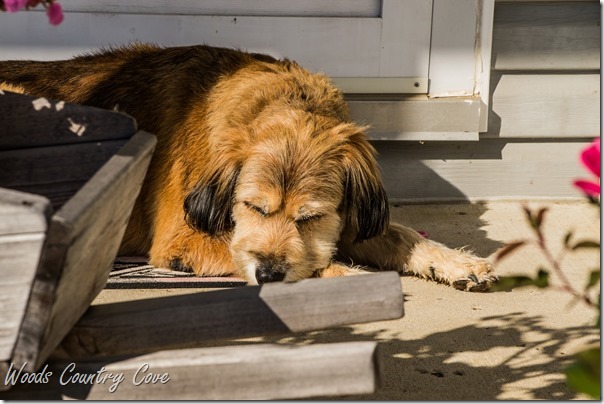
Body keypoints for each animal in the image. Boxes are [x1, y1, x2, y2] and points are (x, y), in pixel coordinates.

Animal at [0, 44, 497, 291]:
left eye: (311, 217)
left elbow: (403, 234)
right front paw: (346, 276)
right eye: (253, 208)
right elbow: (303, 262)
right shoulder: (181, 240)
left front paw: (455, 262)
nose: (269, 275)